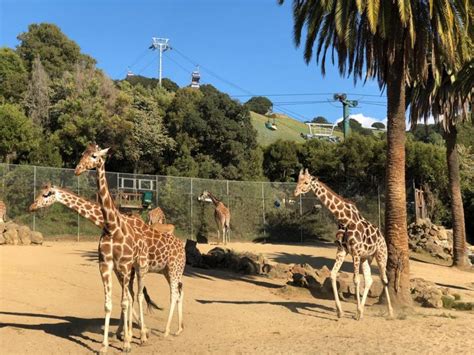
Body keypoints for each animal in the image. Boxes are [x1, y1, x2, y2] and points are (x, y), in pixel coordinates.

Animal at [75, 143, 184, 346]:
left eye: (94, 156)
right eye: (82, 154)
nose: (77, 169)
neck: (112, 226)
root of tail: (182, 246)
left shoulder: (126, 267)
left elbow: (127, 300)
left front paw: (128, 339)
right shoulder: (107, 265)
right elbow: (114, 301)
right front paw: (113, 340)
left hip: (167, 268)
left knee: (168, 294)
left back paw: (162, 332)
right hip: (166, 271)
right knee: (174, 291)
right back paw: (175, 329)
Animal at [294, 168, 394, 322]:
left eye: (306, 182)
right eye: (297, 180)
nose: (295, 192)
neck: (344, 219)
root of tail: (382, 237)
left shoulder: (355, 251)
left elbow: (356, 280)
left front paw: (356, 312)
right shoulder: (342, 250)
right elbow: (333, 275)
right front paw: (340, 312)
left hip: (381, 255)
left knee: (384, 279)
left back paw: (390, 312)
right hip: (366, 257)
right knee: (369, 280)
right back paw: (362, 311)